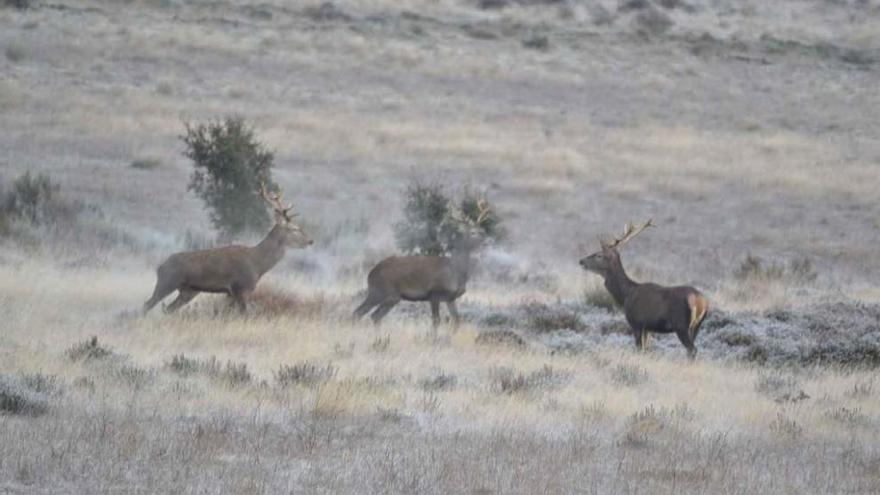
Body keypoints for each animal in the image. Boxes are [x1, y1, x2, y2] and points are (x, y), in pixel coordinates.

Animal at [142, 184, 312, 316]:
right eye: (294, 229)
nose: (310, 241)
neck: (257, 264)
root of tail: (160, 267)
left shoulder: (230, 293)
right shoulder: (241, 288)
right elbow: (244, 315)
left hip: (188, 290)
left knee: (169, 309)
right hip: (167, 281)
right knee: (147, 304)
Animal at [352, 200, 496, 332]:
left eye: (483, 230)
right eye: (473, 232)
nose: (488, 241)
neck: (456, 270)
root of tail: (371, 274)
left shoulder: (451, 298)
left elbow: (456, 320)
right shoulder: (435, 293)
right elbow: (436, 321)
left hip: (389, 295)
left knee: (371, 315)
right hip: (383, 291)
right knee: (365, 313)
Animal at [580, 219, 712, 358]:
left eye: (599, 255)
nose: (581, 261)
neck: (626, 295)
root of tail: (701, 302)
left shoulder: (637, 323)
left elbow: (639, 348)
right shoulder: (648, 328)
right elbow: (647, 349)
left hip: (681, 325)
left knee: (692, 349)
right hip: (697, 326)